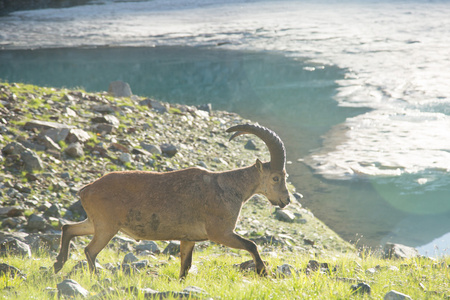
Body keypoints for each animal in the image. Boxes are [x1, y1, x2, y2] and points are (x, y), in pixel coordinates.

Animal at [54, 123, 290, 278]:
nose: (285, 200)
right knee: (90, 250)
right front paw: (262, 271)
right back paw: (95, 279)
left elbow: (185, 266)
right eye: (276, 178)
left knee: (69, 228)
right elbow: (251, 244)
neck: (229, 187)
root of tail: (86, 190)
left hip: (96, 222)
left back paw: (58, 264)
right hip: (106, 227)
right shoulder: (220, 233)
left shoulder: (189, 238)